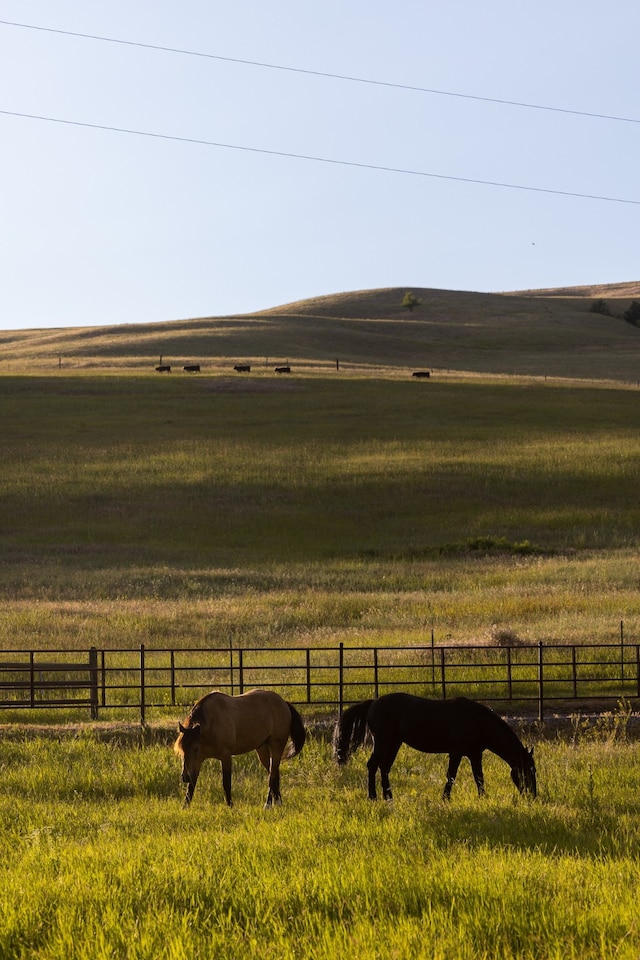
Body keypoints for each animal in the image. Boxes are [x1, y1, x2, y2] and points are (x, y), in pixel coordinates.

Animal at [174, 688, 306, 808]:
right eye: (181, 749)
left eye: (195, 748)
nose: (184, 777)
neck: (211, 724)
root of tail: (284, 703)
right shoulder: (198, 760)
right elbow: (191, 785)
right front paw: (185, 807)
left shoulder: (225, 755)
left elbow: (226, 783)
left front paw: (230, 806)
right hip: (262, 749)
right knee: (273, 774)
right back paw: (278, 803)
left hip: (276, 746)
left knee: (272, 775)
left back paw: (269, 805)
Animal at [332, 692, 536, 800]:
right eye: (529, 770)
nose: (533, 795)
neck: (478, 721)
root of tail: (373, 703)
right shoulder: (456, 752)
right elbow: (451, 775)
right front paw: (446, 798)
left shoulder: (475, 754)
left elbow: (479, 777)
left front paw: (483, 797)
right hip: (383, 742)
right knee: (373, 765)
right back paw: (373, 796)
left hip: (393, 744)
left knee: (384, 767)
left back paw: (388, 797)